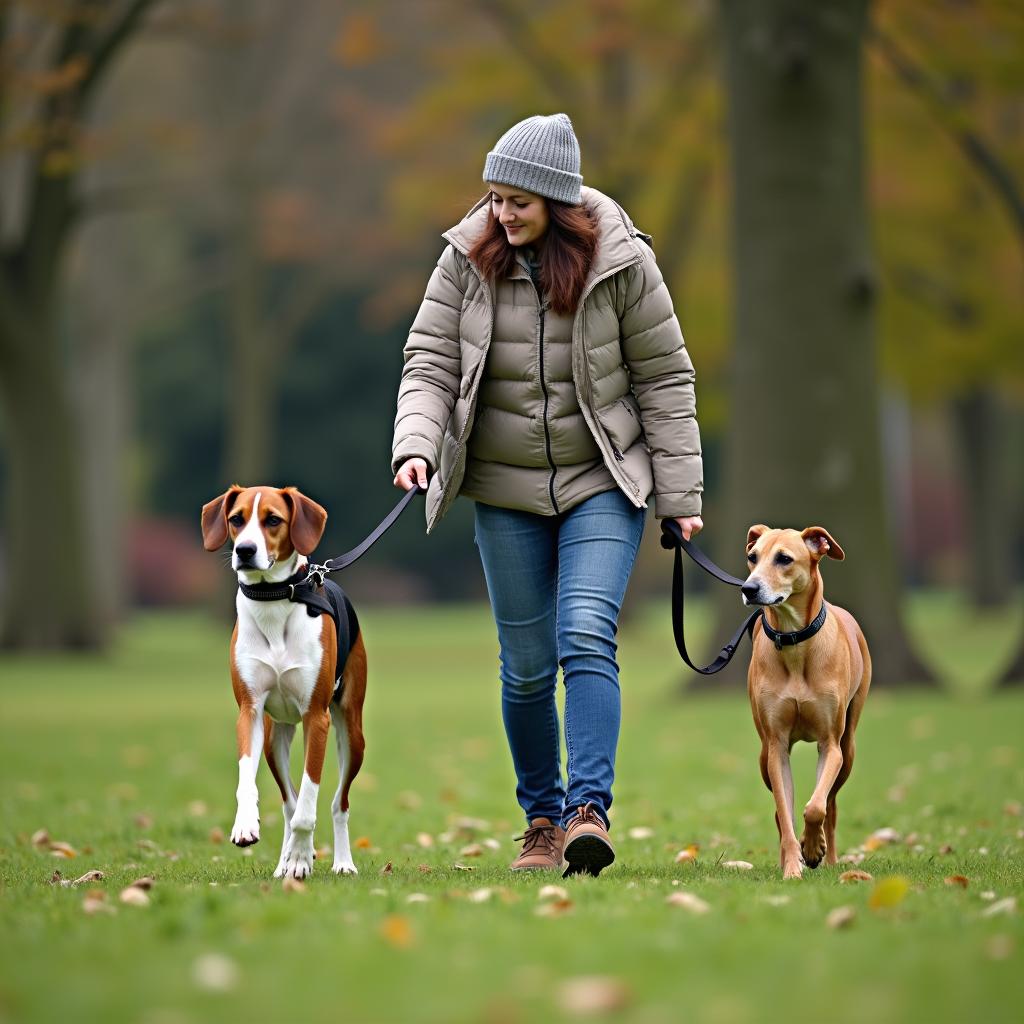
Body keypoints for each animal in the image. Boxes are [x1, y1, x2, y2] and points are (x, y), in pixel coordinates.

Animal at [741, 528, 868, 880]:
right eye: (753, 557)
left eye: (784, 558)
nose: (749, 588)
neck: (794, 640)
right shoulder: (776, 746)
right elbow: (785, 812)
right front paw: (793, 866)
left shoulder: (831, 744)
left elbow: (816, 807)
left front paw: (813, 849)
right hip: (761, 756)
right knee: (779, 810)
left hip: (849, 747)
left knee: (832, 806)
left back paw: (830, 857)